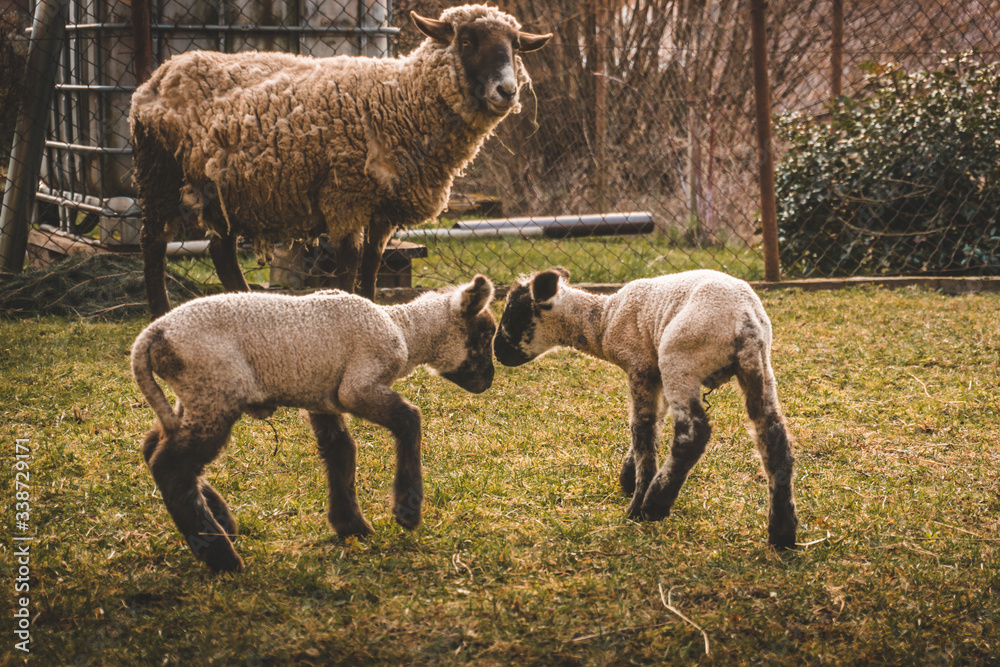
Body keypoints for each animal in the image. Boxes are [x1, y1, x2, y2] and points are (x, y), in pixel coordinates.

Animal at [129, 5, 551, 317]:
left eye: (515, 46)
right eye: (466, 40)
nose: (507, 91)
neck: (401, 99)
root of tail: (160, 74)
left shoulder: (383, 208)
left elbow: (372, 265)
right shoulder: (345, 195)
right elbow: (348, 264)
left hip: (223, 188)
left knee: (221, 250)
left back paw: (241, 302)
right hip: (158, 172)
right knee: (153, 242)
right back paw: (160, 311)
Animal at [131, 275, 497, 572]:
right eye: (484, 334)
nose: (489, 381)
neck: (403, 330)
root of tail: (151, 336)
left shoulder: (322, 399)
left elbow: (341, 452)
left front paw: (350, 525)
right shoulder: (357, 386)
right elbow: (409, 420)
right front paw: (407, 512)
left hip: (193, 396)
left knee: (155, 448)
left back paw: (221, 522)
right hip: (215, 390)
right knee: (171, 466)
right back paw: (222, 558)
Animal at [493, 268, 798, 548]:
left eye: (513, 315)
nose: (497, 353)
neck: (602, 320)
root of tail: (744, 320)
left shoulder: (640, 365)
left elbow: (642, 430)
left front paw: (637, 499)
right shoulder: (654, 374)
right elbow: (656, 422)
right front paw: (628, 477)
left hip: (680, 358)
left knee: (693, 434)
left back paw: (654, 504)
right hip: (757, 366)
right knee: (773, 435)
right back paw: (782, 531)